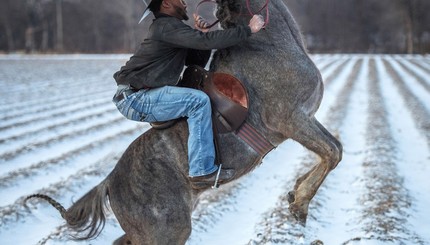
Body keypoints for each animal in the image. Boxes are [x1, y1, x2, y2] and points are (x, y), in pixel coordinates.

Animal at [26, 0, 342, 244]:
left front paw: (295, 191)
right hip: (168, 230)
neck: (268, 45)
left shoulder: (307, 119)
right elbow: (332, 153)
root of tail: (109, 182)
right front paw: (299, 204)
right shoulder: (291, 119)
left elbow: (334, 148)